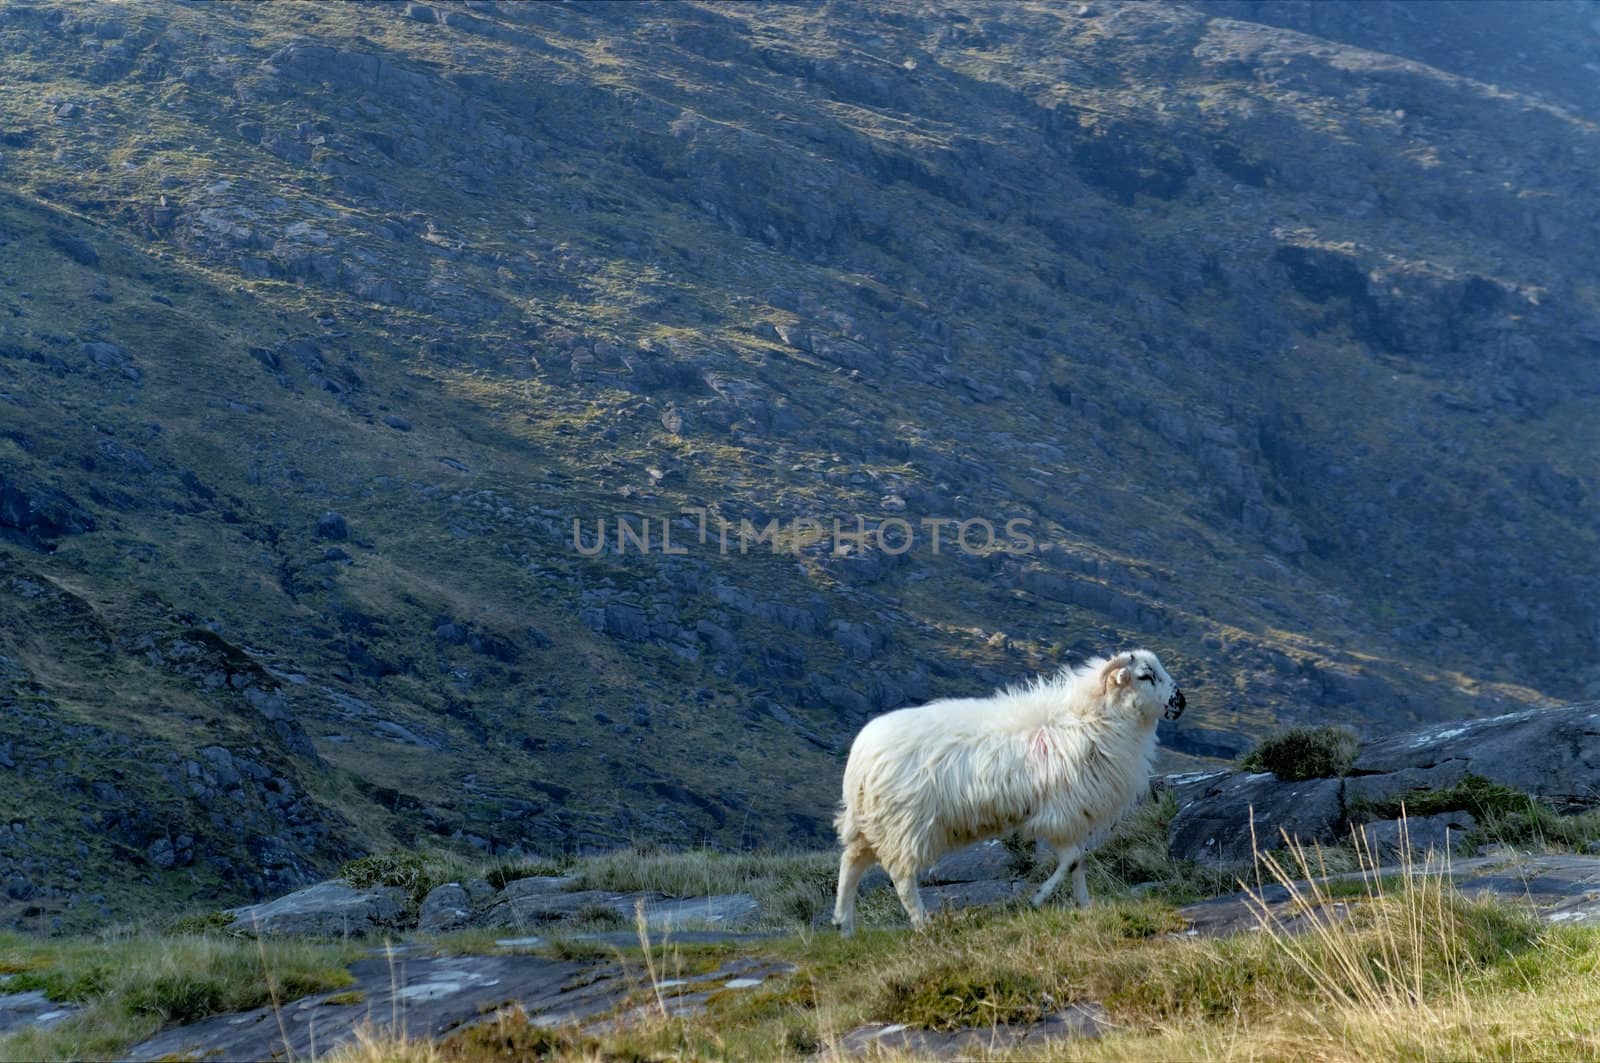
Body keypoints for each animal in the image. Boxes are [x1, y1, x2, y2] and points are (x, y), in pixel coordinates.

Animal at [832, 646, 1184, 928]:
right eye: (1146, 676)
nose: (1180, 702)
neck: (1095, 720)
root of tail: (860, 757)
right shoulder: (1060, 814)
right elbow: (1072, 859)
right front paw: (1038, 899)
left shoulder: (1073, 817)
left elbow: (1079, 861)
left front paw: (1084, 905)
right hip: (904, 823)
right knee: (901, 876)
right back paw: (922, 923)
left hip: (873, 820)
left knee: (851, 862)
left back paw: (844, 924)